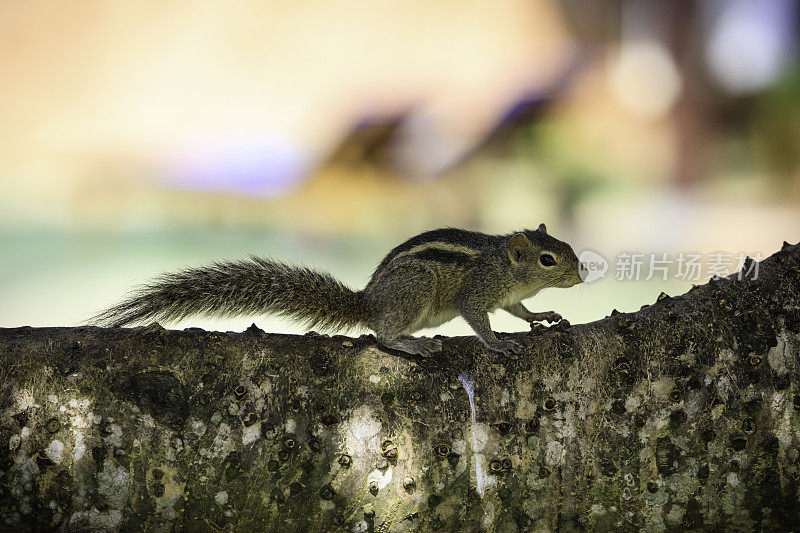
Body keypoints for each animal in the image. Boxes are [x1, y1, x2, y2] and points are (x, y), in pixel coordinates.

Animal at [92, 222, 580, 356]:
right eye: (548, 259)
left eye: (564, 245)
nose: (581, 274)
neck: (503, 264)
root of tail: (368, 302)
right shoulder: (477, 292)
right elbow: (479, 320)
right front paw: (497, 344)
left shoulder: (509, 298)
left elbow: (520, 312)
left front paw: (543, 317)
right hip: (416, 289)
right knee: (382, 334)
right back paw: (410, 344)